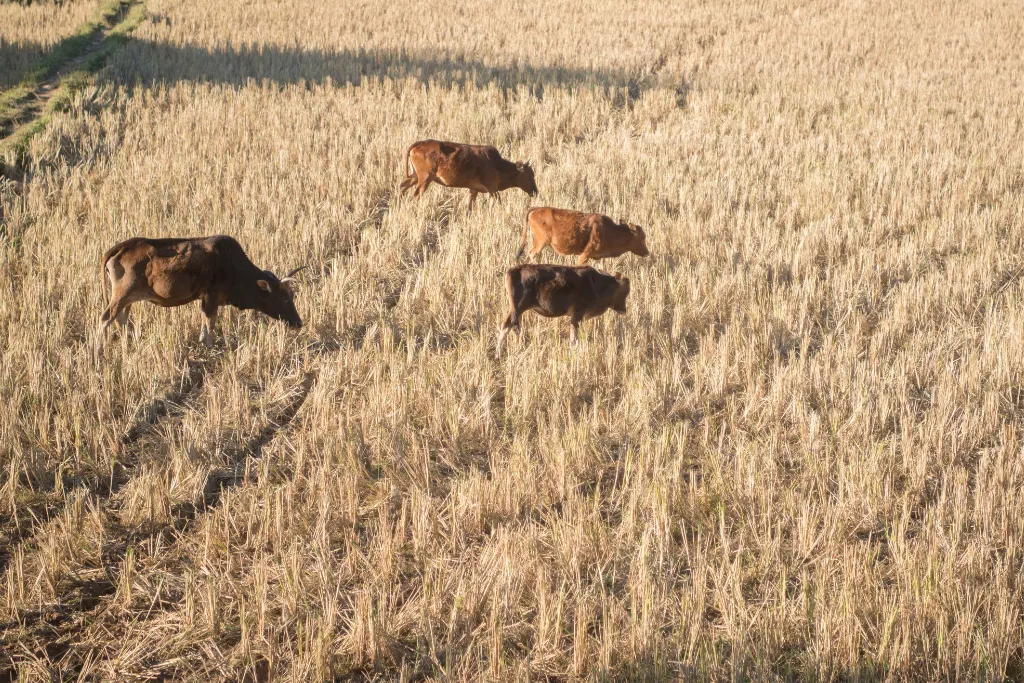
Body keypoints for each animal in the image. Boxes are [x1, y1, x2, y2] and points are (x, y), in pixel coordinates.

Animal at [96, 235, 304, 354]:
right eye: (284, 297)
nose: (298, 323)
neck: (235, 267)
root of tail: (120, 248)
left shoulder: (205, 298)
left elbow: (205, 320)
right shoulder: (212, 295)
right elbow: (210, 321)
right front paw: (211, 346)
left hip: (128, 299)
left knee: (121, 319)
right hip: (122, 295)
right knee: (105, 319)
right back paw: (97, 354)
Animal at [399, 139, 538, 209]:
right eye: (530, 175)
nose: (535, 191)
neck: (497, 165)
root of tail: (421, 143)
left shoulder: (473, 189)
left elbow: (469, 206)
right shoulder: (492, 189)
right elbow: (497, 202)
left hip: (415, 176)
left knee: (402, 186)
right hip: (425, 178)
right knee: (416, 194)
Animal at [496, 264, 630, 355]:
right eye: (624, 292)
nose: (624, 309)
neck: (597, 285)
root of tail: (514, 270)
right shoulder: (577, 315)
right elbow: (574, 338)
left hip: (516, 310)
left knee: (506, 325)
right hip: (518, 309)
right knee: (509, 325)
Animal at [517, 207, 649, 264]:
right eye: (642, 237)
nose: (647, 253)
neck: (607, 231)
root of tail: (535, 209)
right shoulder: (585, 255)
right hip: (541, 242)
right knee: (532, 253)